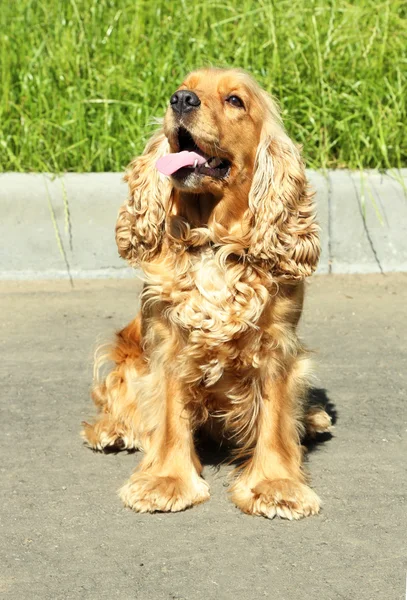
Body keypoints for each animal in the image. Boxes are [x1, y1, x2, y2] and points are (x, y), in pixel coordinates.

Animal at [82, 67, 332, 520]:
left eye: (235, 100)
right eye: (185, 87)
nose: (181, 100)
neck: (215, 243)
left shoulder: (278, 347)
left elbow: (274, 420)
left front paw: (276, 486)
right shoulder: (168, 345)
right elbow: (168, 418)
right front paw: (165, 482)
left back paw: (314, 419)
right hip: (128, 356)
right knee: (114, 398)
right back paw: (112, 430)